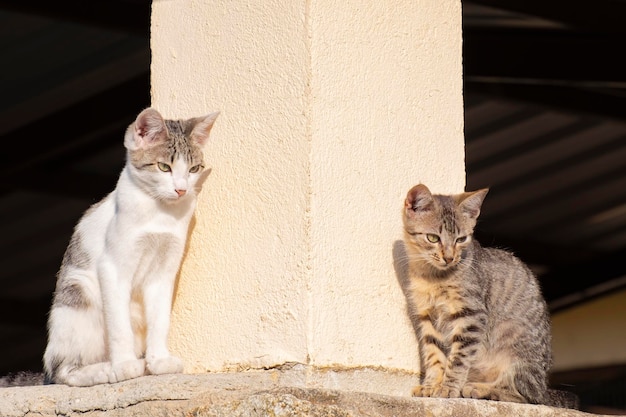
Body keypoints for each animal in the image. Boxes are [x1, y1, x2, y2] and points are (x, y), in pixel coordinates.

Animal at [42, 107, 218, 386]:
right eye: (164, 167)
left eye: (194, 169)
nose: (182, 190)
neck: (160, 213)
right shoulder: (112, 268)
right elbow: (118, 325)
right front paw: (124, 365)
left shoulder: (163, 272)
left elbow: (160, 320)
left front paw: (159, 360)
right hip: (77, 298)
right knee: (63, 371)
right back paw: (104, 369)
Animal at [402, 183, 548, 404]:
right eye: (433, 238)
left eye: (461, 239)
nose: (449, 258)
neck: (433, 277)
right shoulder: (426, 316)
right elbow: (433, 354)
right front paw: (431, 385)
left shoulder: (472, 315)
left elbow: (458, 358)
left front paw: (448, 388)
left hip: (515, 341)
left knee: (525, 395)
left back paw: (482, 389)